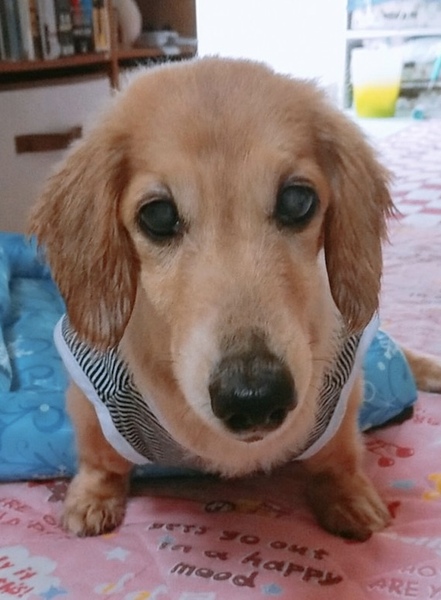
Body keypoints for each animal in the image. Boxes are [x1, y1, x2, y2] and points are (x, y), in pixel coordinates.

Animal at [29, 57, 441, 540]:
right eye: (158, 215)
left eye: (297, 200)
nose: (254, 396)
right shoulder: (90, 392)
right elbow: (100, 458)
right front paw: (93, 497)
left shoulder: (343, 388)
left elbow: (338, 455)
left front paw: (349, 494)